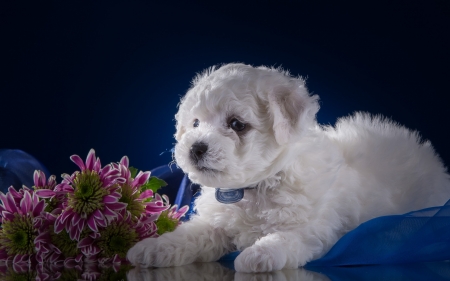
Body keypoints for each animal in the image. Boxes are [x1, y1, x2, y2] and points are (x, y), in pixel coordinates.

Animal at [127, 63, 450, 272]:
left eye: (237, 124)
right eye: (195, 123)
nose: (195, 148)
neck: (255, 187)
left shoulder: (313, 229)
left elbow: (286, 238)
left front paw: (258, 254)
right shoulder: (214, 224)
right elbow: (189, 235)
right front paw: (152, 248)